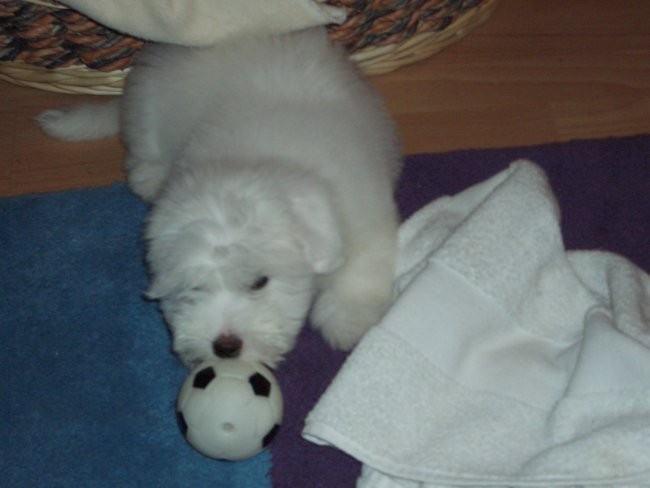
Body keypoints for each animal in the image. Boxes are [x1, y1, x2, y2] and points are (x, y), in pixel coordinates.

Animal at [38, 27, 402, 366]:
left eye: (259, 282)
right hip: (150, 108)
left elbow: (365, 262)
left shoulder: (366, 208)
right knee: (144, 150)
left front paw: (349, 318)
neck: (257, 159)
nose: (225, 347)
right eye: (195, 287)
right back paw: (150, 176)